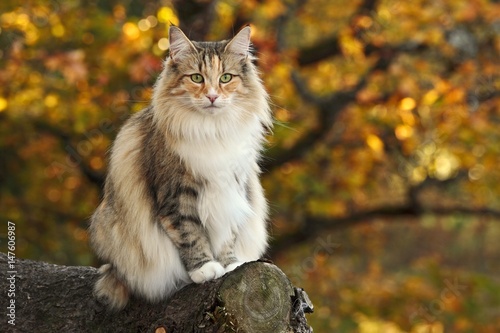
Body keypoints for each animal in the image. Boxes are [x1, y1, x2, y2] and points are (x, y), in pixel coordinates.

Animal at [88, 25, 272, 308]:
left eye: (226, 78)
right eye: (196, 78)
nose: (212, 96)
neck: (212, 131)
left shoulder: (233, 188)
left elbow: (227, 235)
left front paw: (230, 265)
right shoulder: (176, 194)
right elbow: (190, 234)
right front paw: (205, 269)